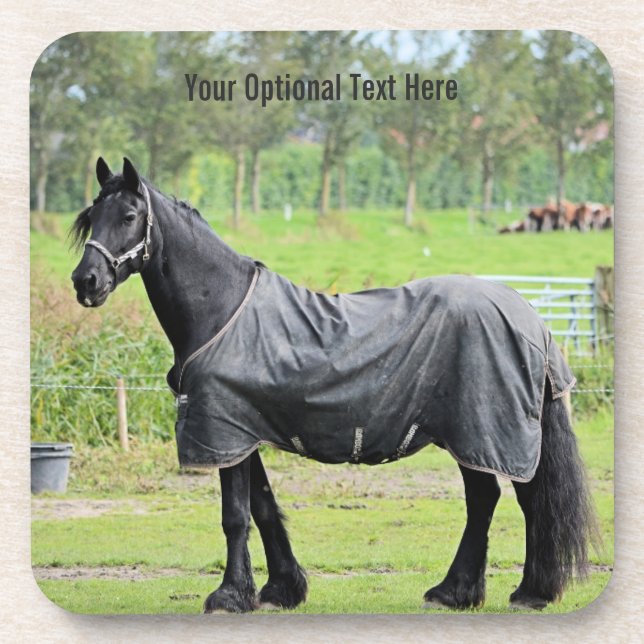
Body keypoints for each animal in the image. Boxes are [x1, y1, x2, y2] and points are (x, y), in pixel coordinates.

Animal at [70, 157, 597, 613]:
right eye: (92, 217)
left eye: (131, 215)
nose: (85, 281)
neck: (222, 309)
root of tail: (529, 316)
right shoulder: (242, 433)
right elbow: (263, 506)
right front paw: (282, 589)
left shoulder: (222, 430)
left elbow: (234, 516)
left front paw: (229, 597)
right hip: (472, 435)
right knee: (487, 499)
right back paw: (459, 591)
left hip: (487, 432)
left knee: (520, 500)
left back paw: (524, 592)